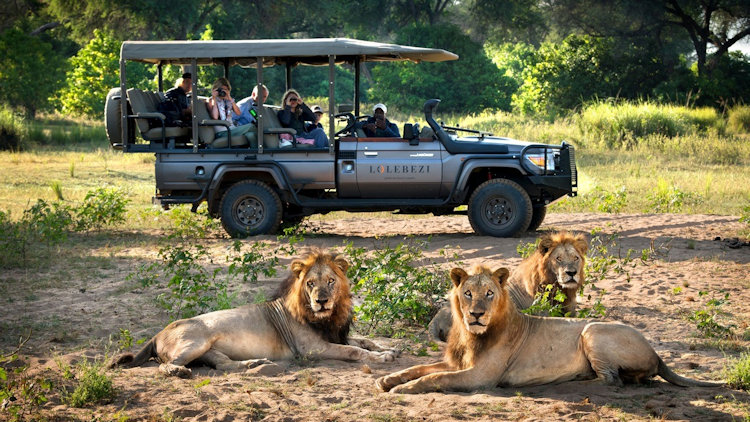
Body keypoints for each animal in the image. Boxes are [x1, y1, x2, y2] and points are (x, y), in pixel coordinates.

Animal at [110, 249, 400, 378]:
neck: (326, 318)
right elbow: (354, 350)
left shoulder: (336, 334)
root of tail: (158, 333)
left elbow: (364, 340)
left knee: (225, 365)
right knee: (165, 365)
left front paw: (390, 348)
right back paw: (178, 372)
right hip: (196, 341)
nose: (322, 301)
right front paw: (383, 357)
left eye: (330, 281)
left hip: (208, 351)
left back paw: (256, 364)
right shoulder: (312, 348)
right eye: (310, 283)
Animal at [378, 266, 724, 394]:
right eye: (467, 293)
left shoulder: (481, 376)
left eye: (489, 294)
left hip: (592, 331)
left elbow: (435, 378)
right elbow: (419, 367)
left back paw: (574, 381)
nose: (476, 314)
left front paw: (402, 389)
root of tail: (657, 351)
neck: (469, 334)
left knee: (612, 380)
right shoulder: (458, 362)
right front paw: (388, 379)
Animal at [428, 231, 588, 342]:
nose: (571, 272)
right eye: (558, 258)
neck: (560, 289)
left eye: (576, 258)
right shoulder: (544, 314)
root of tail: (436, 318)